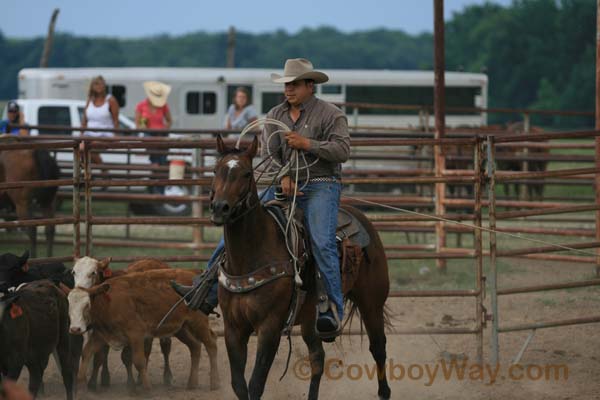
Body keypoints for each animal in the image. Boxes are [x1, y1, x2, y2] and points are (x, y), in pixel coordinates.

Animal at [68, 268, 218, 394]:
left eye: (87, 305)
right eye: (69, 305)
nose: (75, 329)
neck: (108, 303)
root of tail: (194, 275)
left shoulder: (136, 334)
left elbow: (139, 361)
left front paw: (147, 389)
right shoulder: (101, 335)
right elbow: (87, 353)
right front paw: (80, 385)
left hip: (198, 323)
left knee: (211, 345)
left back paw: (215, 383)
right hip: (181, 328)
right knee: (195, 346)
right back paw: (192, 383)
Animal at [211, 136, 394, 398]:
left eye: (246, 173)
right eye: (216, 170)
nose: (220, 208)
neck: (249, 258)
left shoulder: (270, 327)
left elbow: (256, 384)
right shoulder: (233, 329)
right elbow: (239, 385)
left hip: (371, 303)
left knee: (378, 347)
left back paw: (384, 391)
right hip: (310, 320)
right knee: (318, 359)